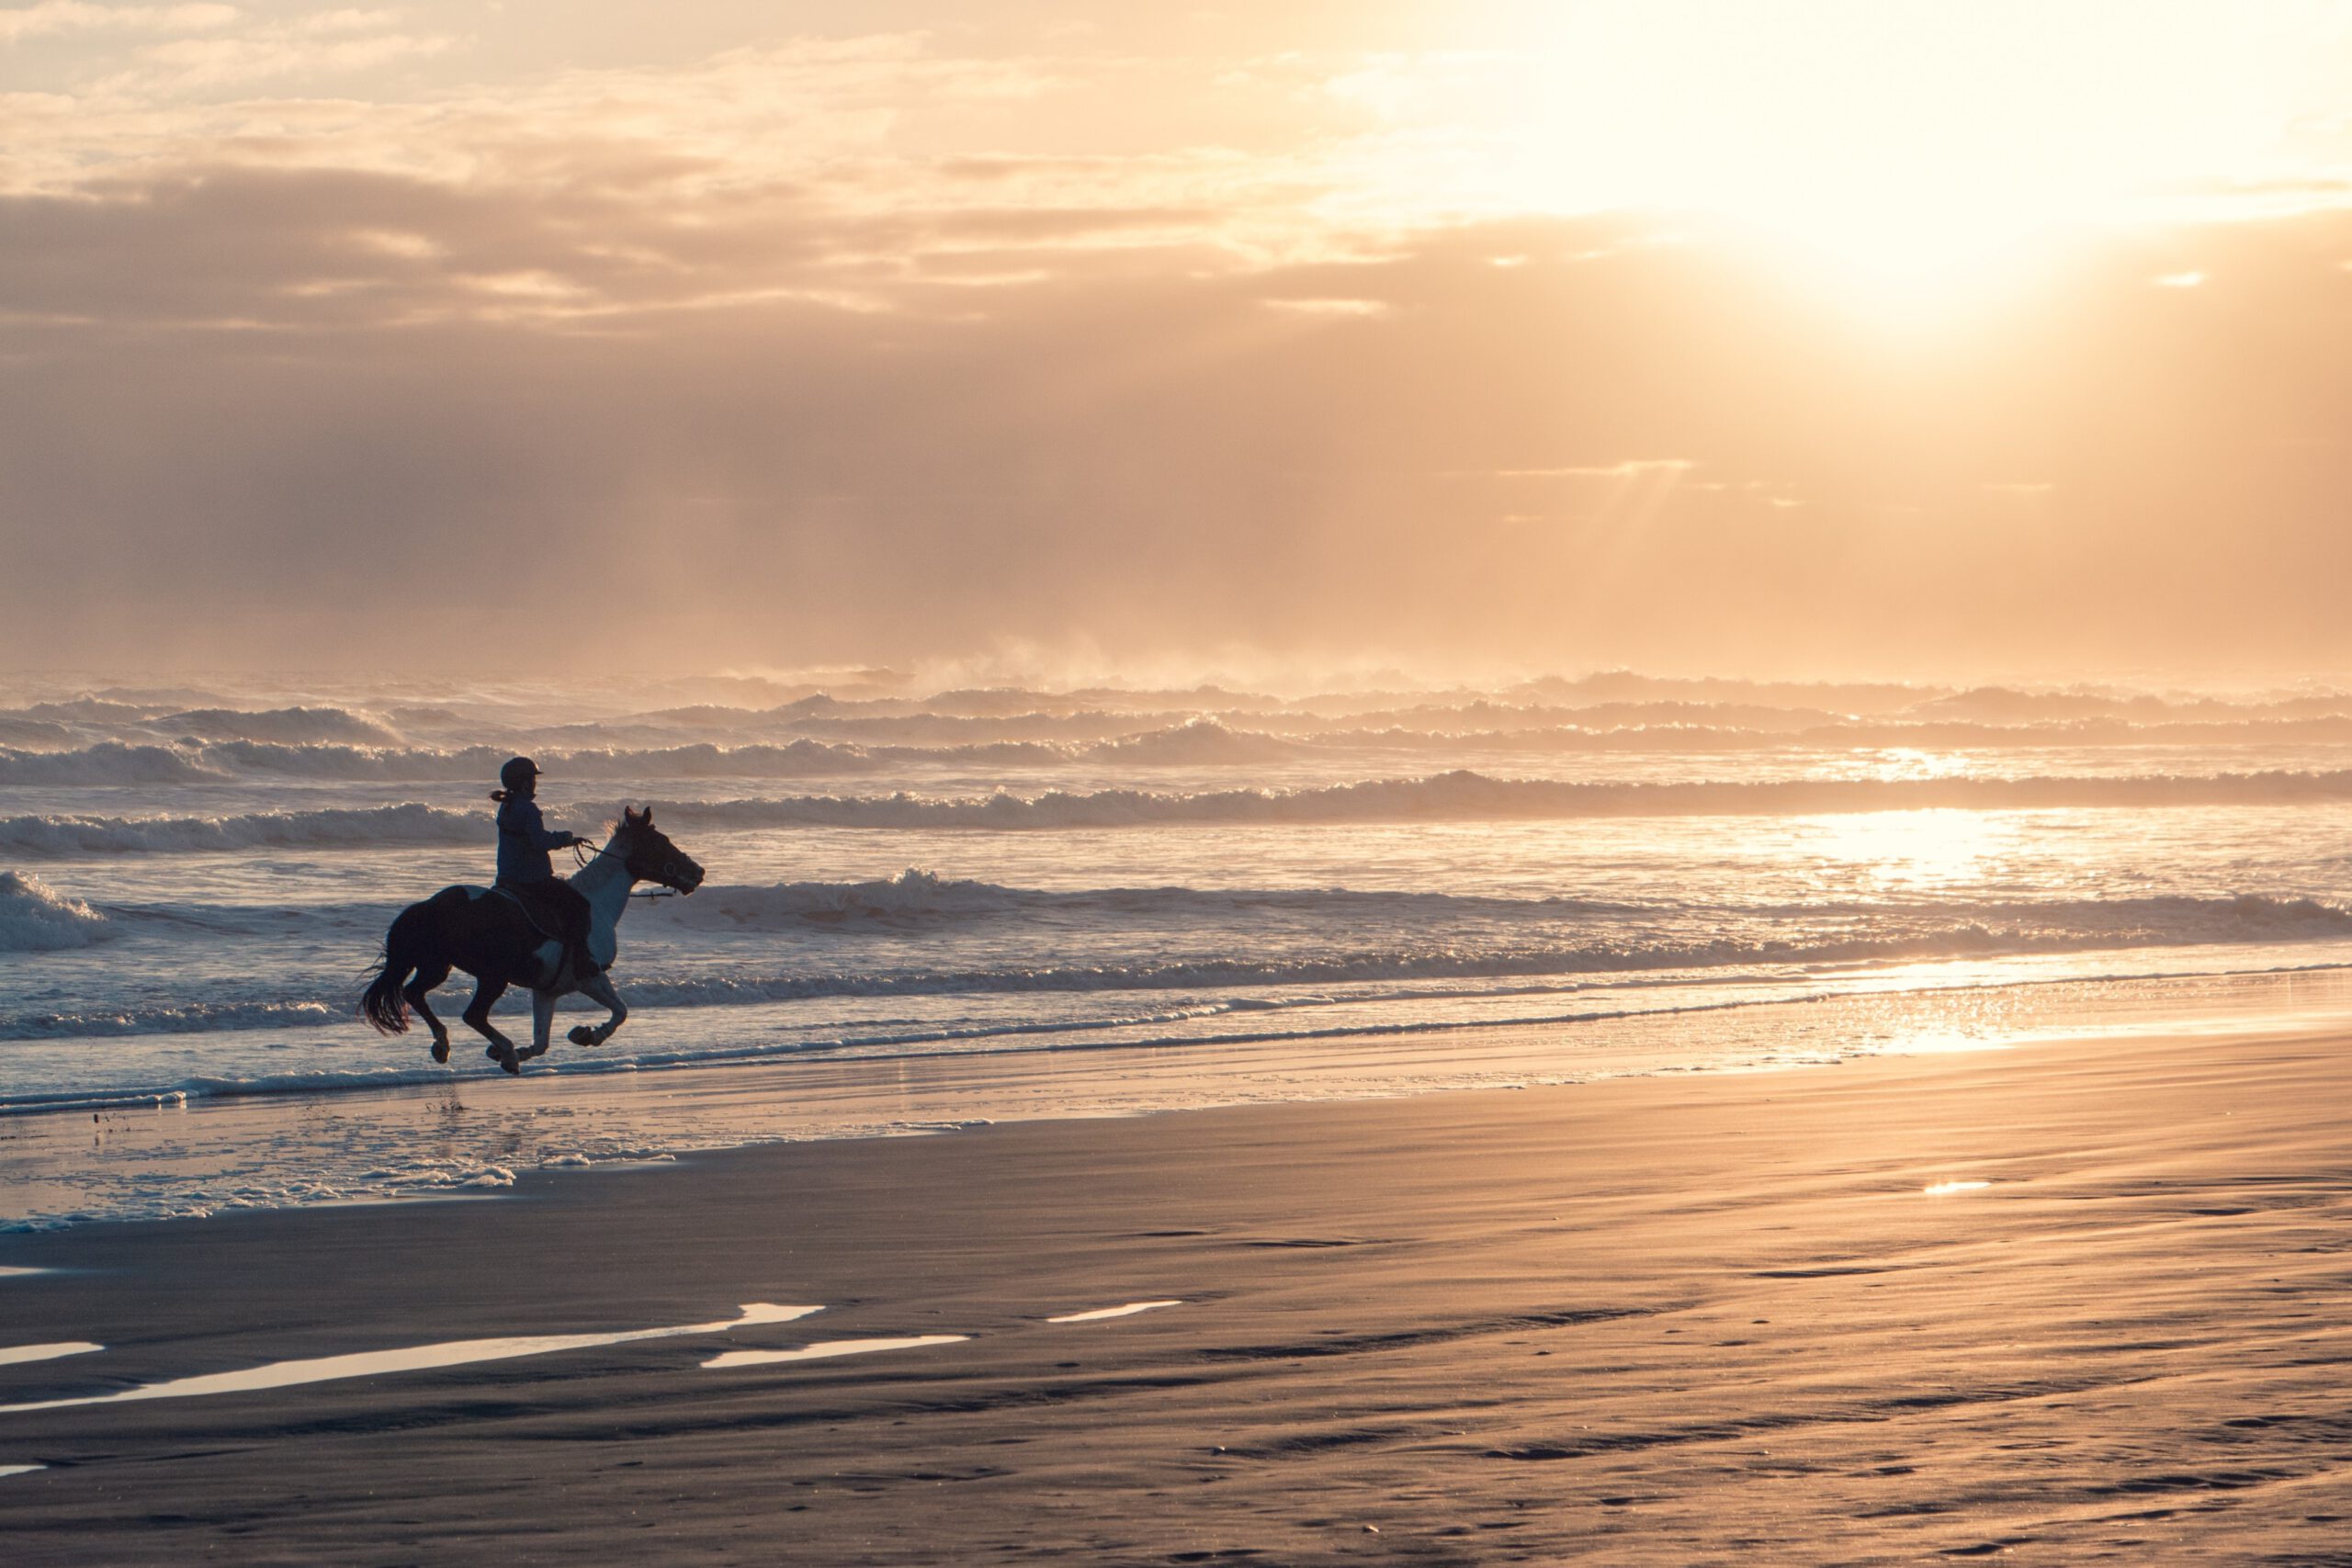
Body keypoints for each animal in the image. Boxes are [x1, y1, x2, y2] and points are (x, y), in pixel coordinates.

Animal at [357, 808, 700, 1081]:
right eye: (662, 842)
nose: (699, 872)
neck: (596, 903)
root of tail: (429, 906)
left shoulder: (546, 990)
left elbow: (541, 1041)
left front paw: (519, 1051)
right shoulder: (590, 976)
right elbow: (620, 1011)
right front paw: (589, 1034)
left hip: (437, 966)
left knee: (414, 993)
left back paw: (446, 1046)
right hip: (492, 976)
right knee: (472, 1014)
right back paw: (502, 1051)